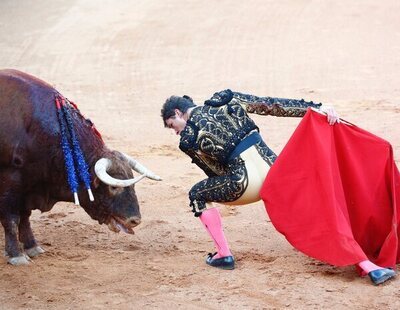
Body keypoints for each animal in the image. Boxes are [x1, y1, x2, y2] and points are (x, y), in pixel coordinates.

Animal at [0, 69, 159, 266]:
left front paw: (32, 247)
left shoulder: (29, 187)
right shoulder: (11, 182)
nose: (135, 220)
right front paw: (16, 255)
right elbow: (12, 219)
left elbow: (25, 217)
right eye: (113, 187)